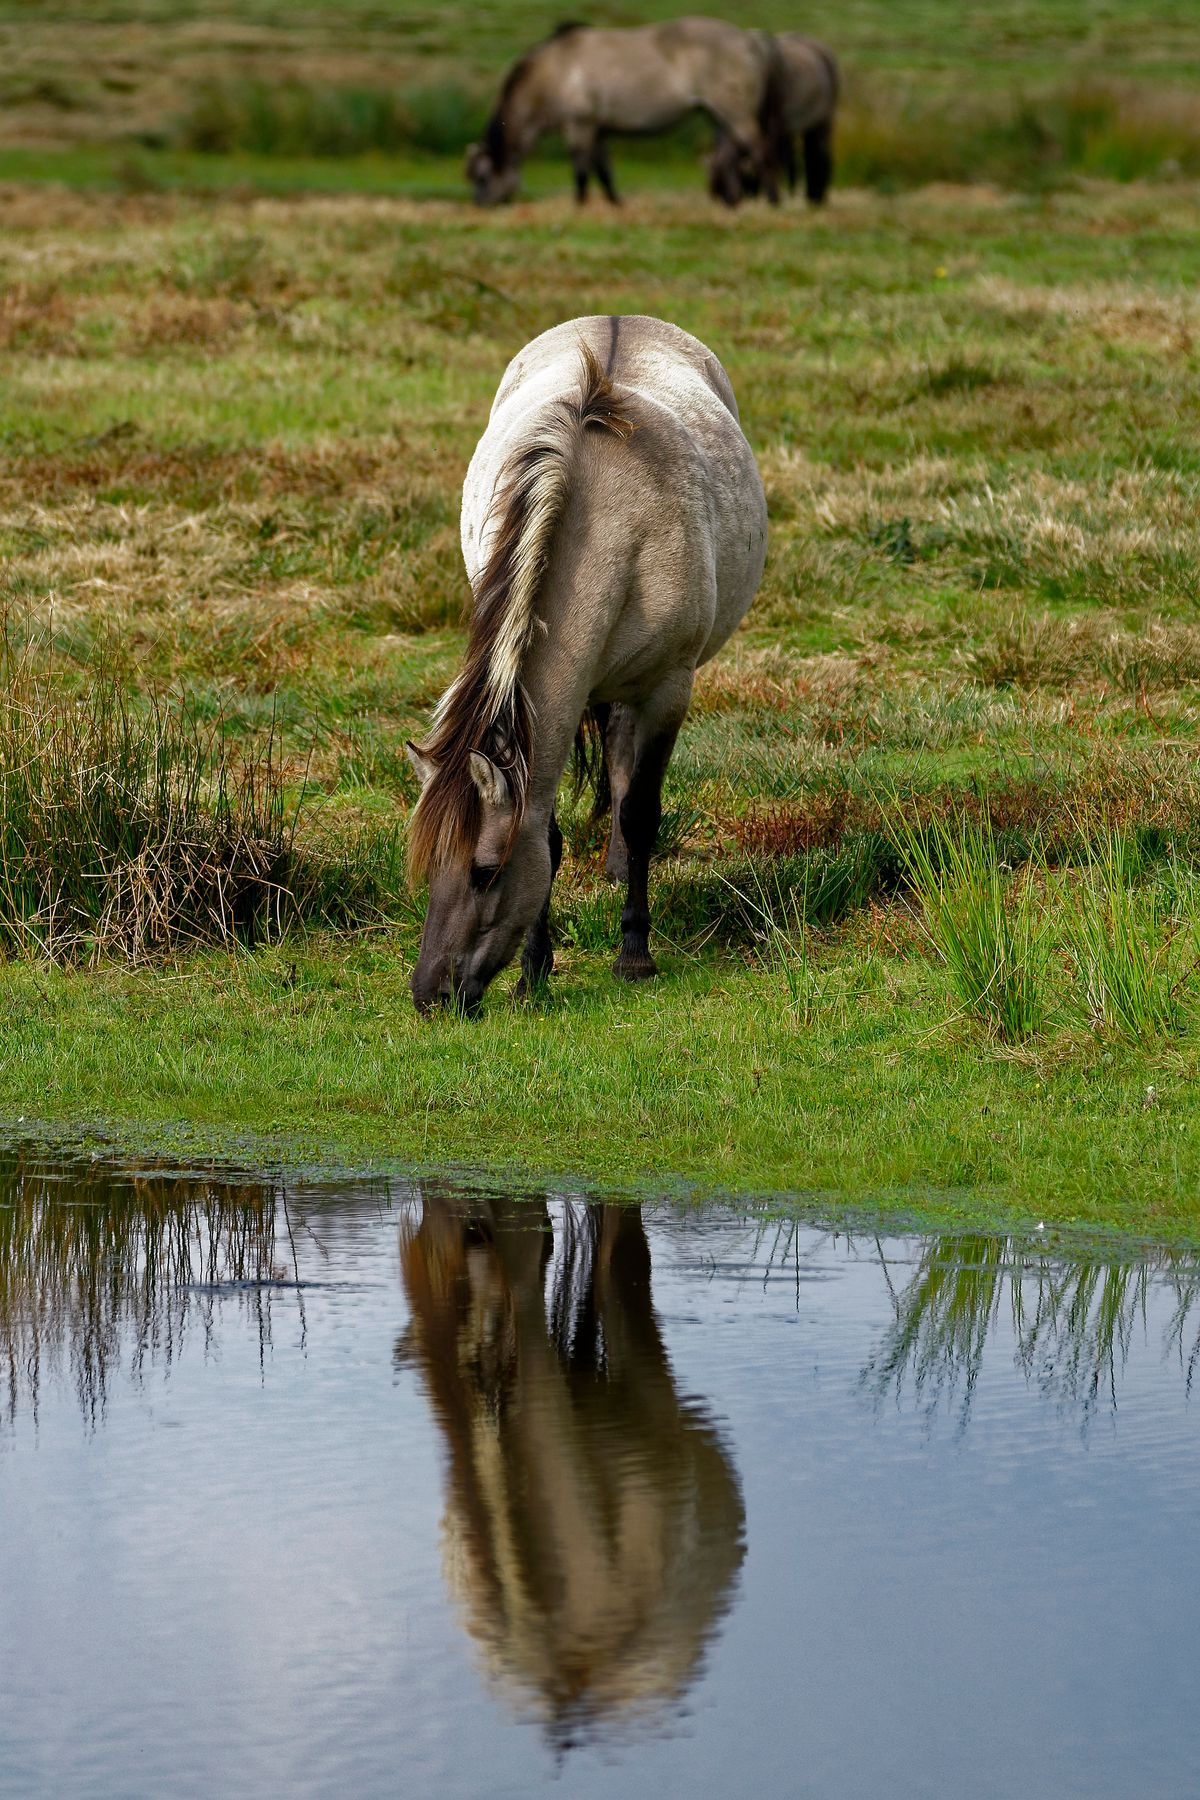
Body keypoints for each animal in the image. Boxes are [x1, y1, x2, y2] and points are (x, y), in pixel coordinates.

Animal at [402, 309, 766, 1015]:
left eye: (484, 873)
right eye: (431, 866)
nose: (430, 994)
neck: (613, 533)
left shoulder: (668, 689)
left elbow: (641, 810)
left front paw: (635, 954)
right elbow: (545, 834)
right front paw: (534, 971)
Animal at [467, 18, 788, 207]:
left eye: (482, 178)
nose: (479, 204)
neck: (555, 70)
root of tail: (749, 38)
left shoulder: (579, 126)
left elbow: (581, 169)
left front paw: (579, 206)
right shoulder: (597, 129)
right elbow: (604, 170)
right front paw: (615, 203)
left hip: (735, 113)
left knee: (761, 150)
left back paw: (772, 200)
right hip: (719, 115)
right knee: (730, 156)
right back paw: (732, 202)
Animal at [708, 33, 841, 206]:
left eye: (726, 177)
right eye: (715, 179)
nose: (728, 201)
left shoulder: (775, 124)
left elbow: (771, 156)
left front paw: (774, 196)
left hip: (822, 120)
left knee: (819, 153)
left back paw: (816, 197)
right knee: (806, 154)